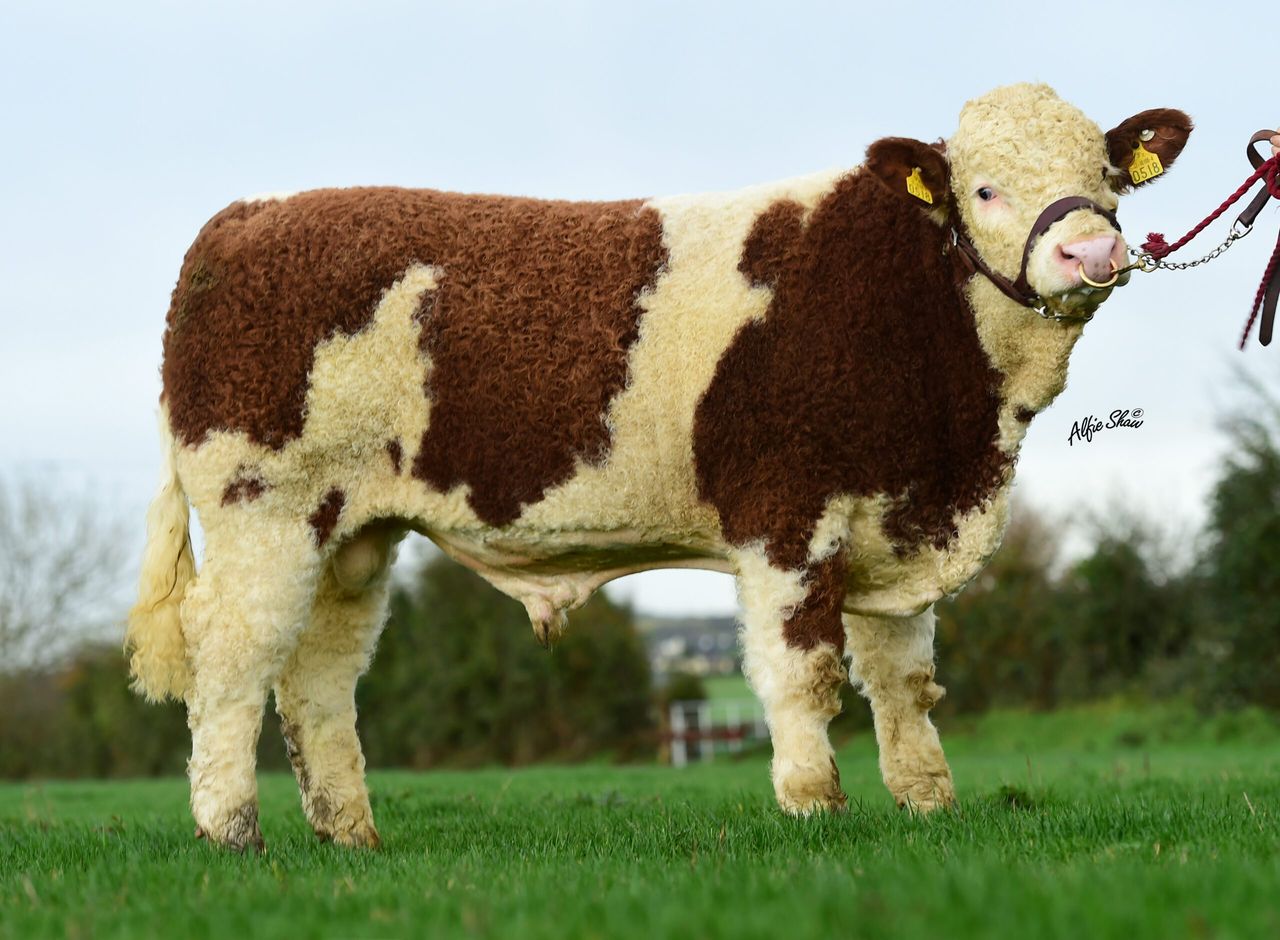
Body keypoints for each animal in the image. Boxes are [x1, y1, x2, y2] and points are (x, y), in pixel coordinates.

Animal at [127, 83, 1192, 851]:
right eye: (984, 189)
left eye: (1108, 174)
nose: (1093, 249)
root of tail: (245, 216)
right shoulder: (787, 519)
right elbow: (804, 673)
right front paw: (816, 809)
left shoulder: (899, 516)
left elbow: (903, 682)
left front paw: (930, 807)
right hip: (263, 507)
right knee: (234, 658)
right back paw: (231, 833)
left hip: (351, 530)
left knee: (317, 676)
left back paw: (351, 836)